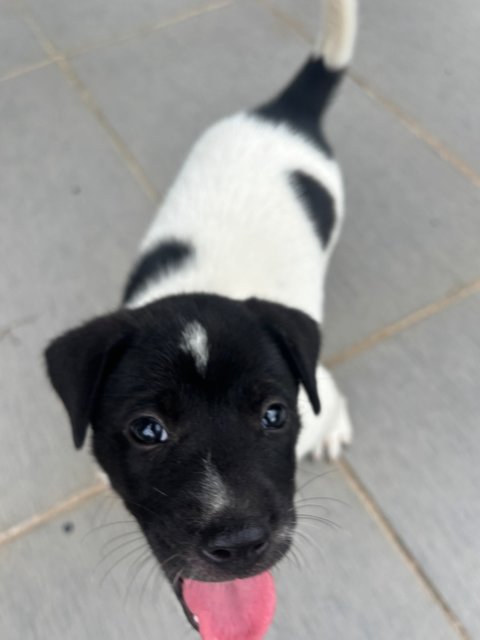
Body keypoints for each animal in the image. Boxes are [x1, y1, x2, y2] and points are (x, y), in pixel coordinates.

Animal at [46, 2, 356, 636]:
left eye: (274, 414)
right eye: (146, 430)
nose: (240, 544)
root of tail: (283, 112)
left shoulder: (317, 379)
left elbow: (329, 399)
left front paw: (332, 426)